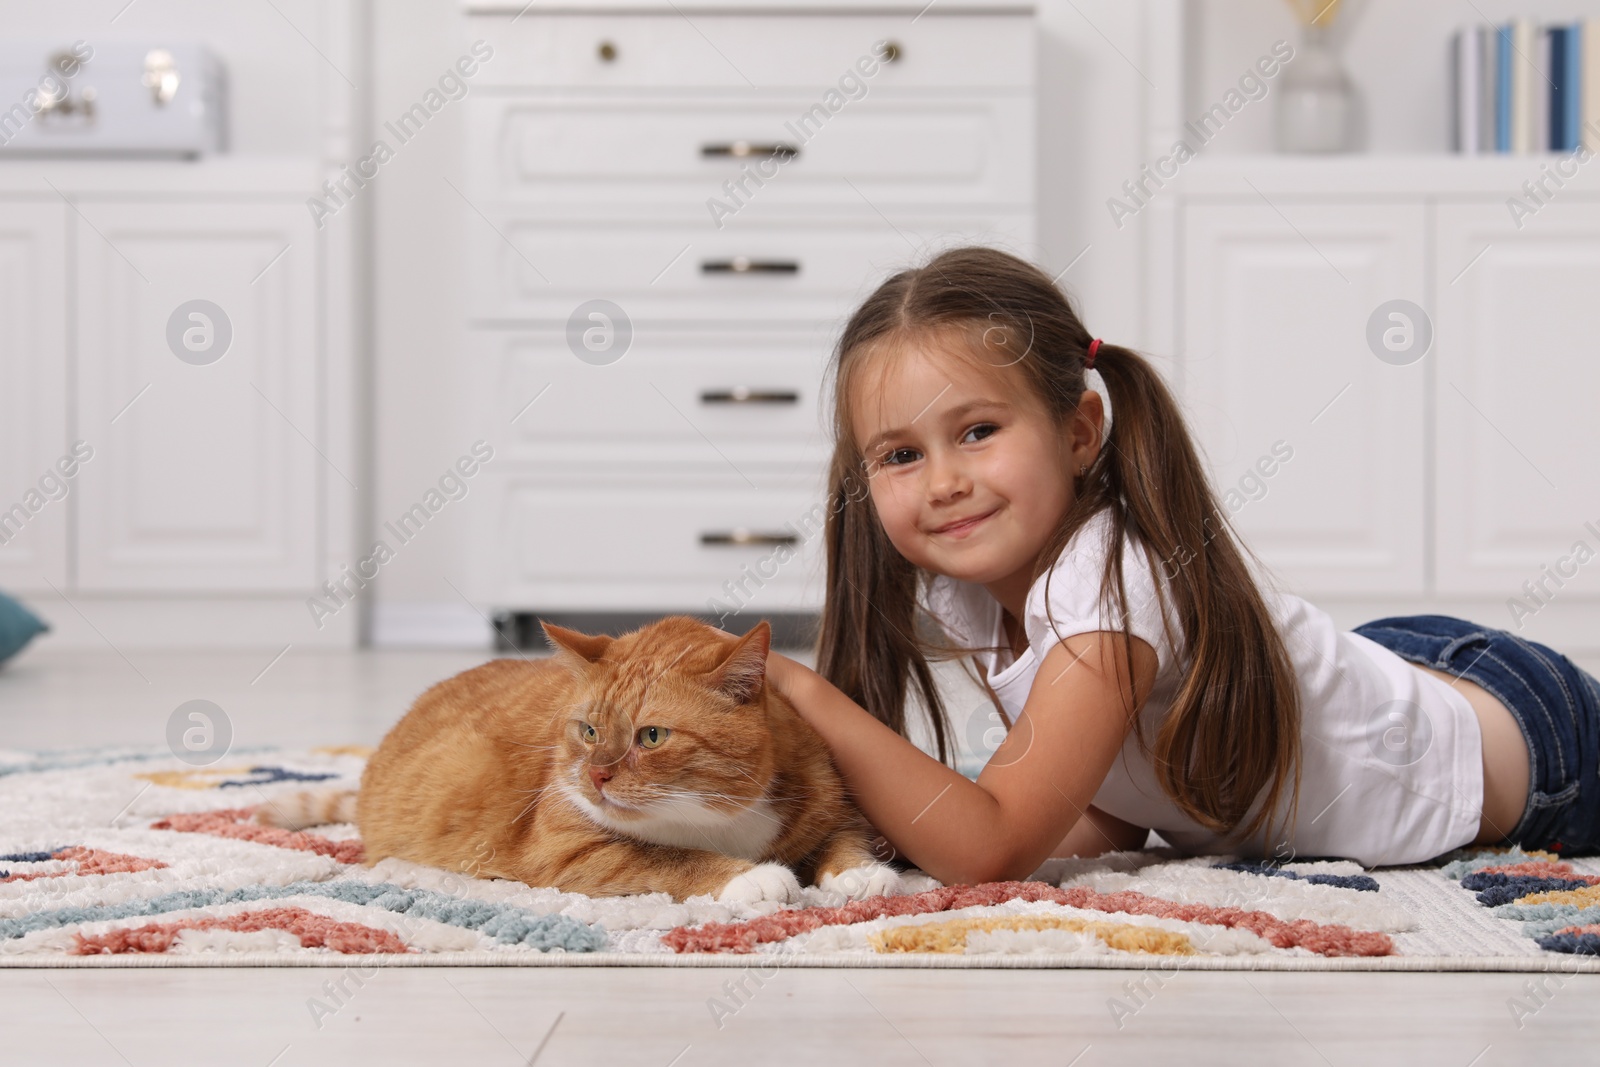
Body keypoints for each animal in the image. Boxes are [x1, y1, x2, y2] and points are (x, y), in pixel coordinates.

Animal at [347, 617, 928, 902]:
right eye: (590, 731)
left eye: (651, 736)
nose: (596, 774)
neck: (714, 815)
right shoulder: (566, 850)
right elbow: (666, 858)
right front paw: (752, 877)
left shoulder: (832, 806)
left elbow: (842, 839)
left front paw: (860, 873)